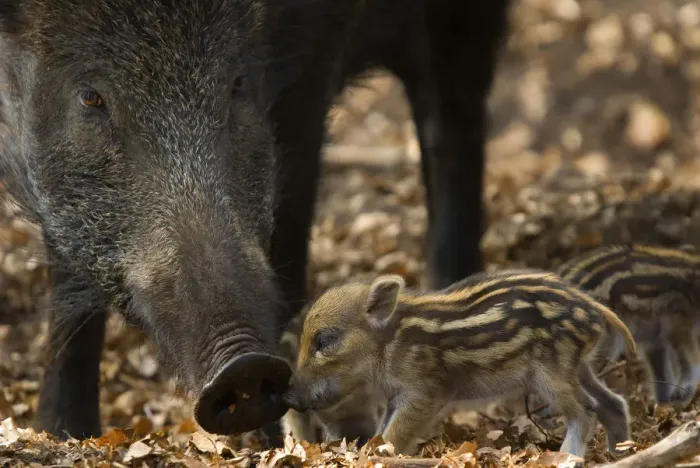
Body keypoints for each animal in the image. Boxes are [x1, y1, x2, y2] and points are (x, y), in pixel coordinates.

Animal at [0, 0, 511, 440]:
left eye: (236, 84)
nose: (244, 367)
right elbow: (67, 276)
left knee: (453, 119)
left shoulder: (313, 55)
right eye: (90, 97)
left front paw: (280, 442)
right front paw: (62, 433)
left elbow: (290, 214)